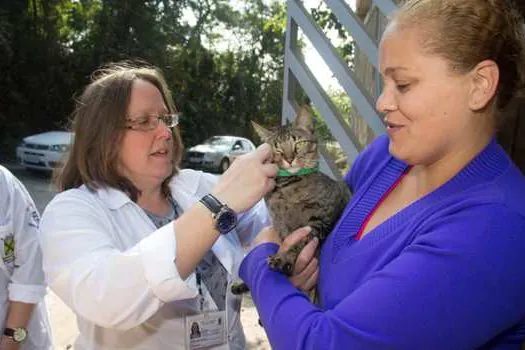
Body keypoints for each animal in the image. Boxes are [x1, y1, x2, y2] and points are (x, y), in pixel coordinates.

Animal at [230, 106, 348, 296]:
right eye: (277, 149)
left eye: (298, 144)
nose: (289, 158)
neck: (287, 187)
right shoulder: (280, 225)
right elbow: (284, 242)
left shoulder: (321, 218)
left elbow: (299, 243)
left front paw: (283, 258)